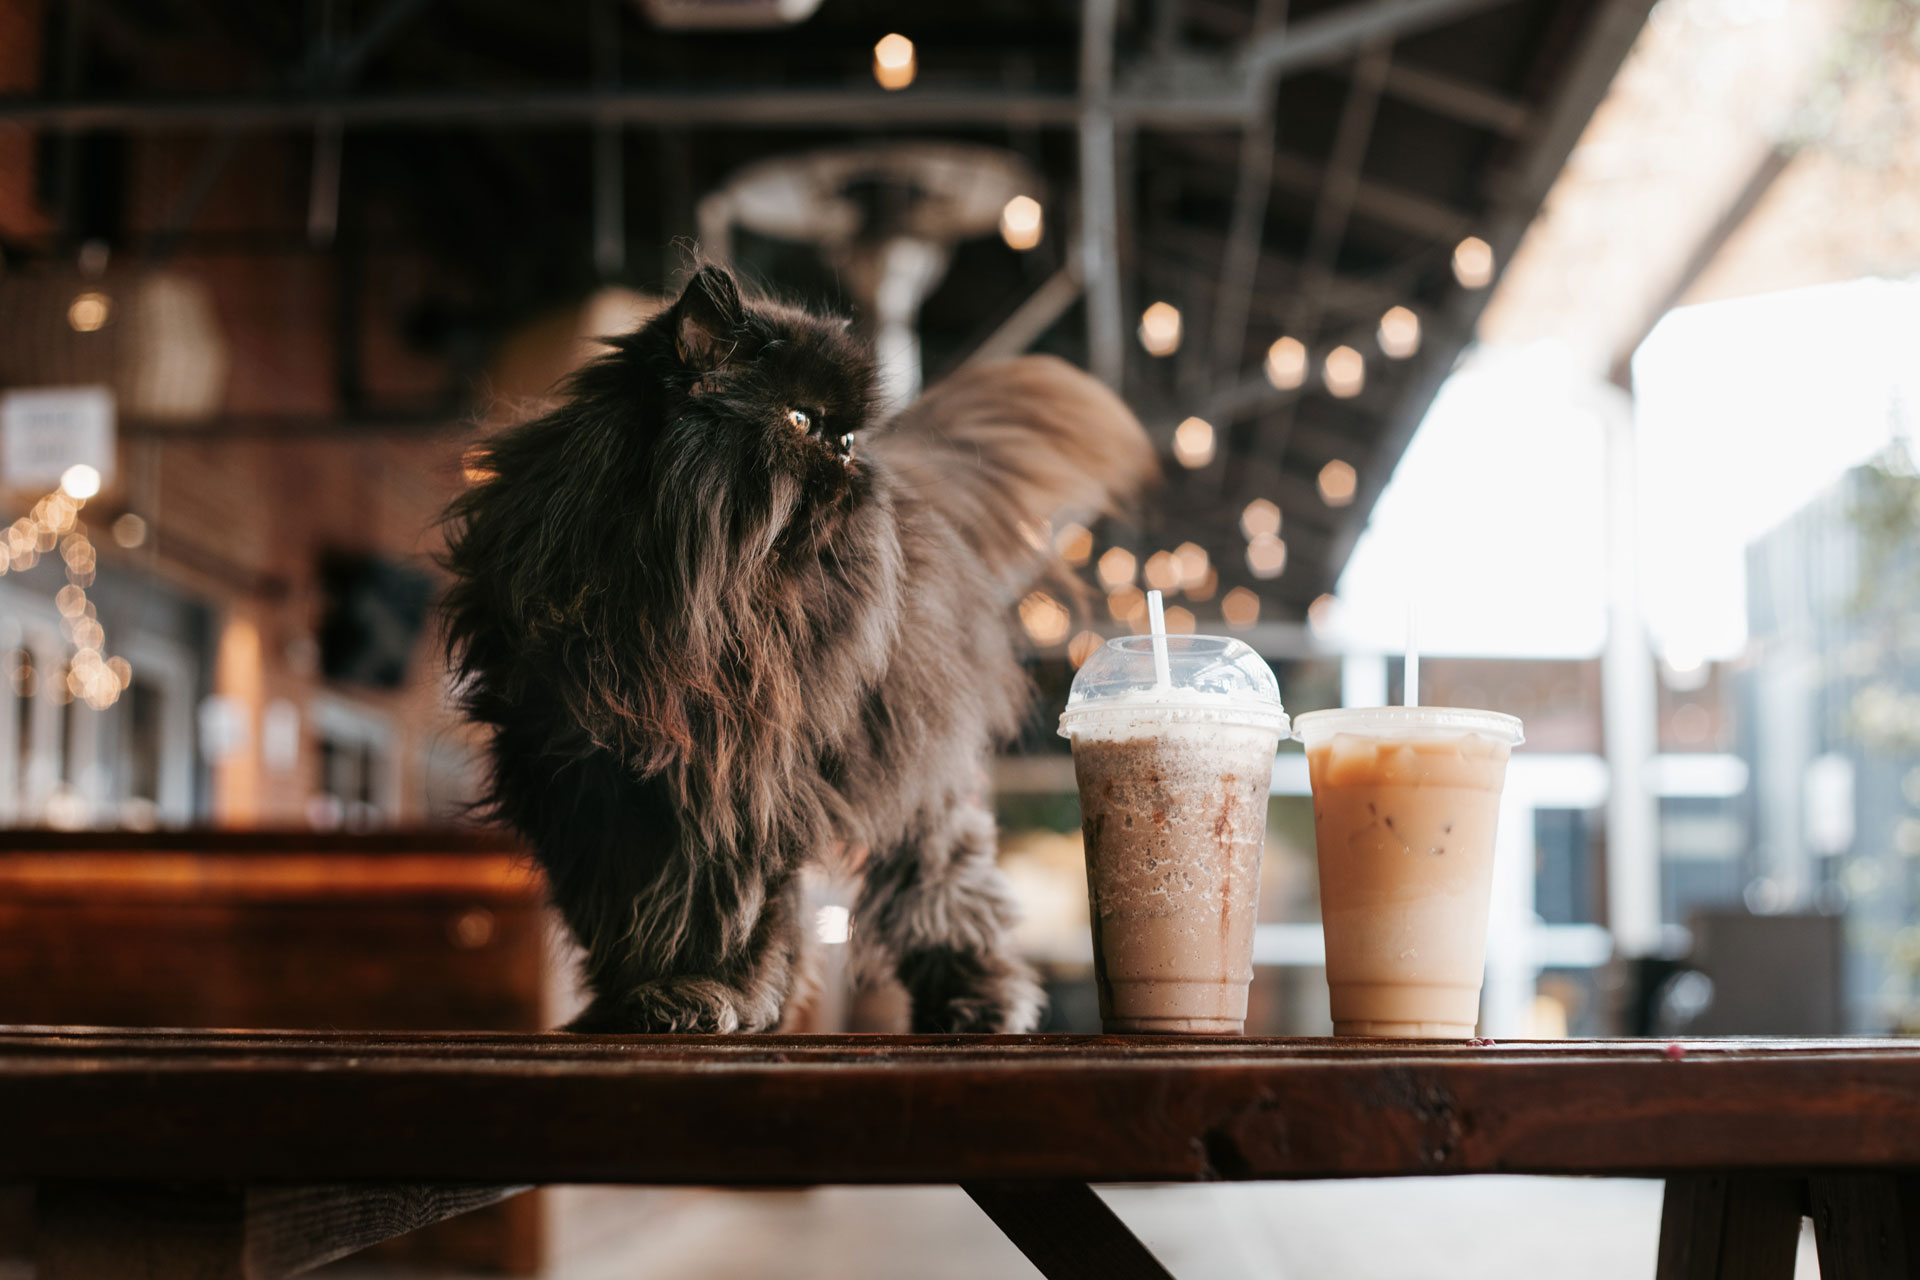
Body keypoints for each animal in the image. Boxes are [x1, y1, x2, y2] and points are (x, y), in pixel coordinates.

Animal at [441, 264, 1144, 1036]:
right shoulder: (587, 784)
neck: (698, 611)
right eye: (802, 422)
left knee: (946, 890)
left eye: (847, 437)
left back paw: (977, 1005)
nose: (849, 459)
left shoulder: (748, 790)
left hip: (920, 781)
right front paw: (634, 1002)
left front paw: (707, 993)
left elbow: (726, 911)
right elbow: (621, 910)